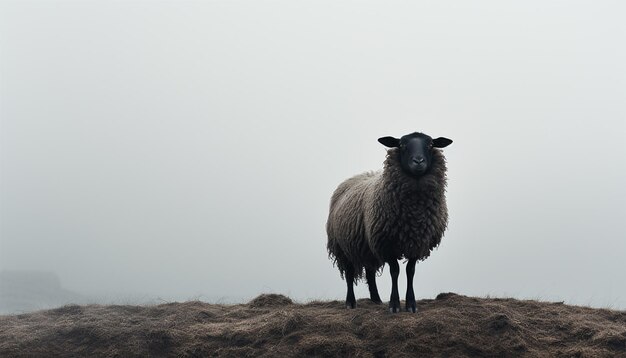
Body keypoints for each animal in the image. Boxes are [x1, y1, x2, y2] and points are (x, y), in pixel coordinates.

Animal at [324, 132, 450, 314]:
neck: (413, 215)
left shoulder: (417, 243)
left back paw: (376, 300)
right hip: (343, 246)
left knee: (369, 272)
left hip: (367, 246)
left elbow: (410, 271)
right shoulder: (386, 243)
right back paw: (350, 302)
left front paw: (411, 304)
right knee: (349, 273)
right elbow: (395, 271)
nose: (418, 161)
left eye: (431, 144)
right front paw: (394, 304)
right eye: (402, 145)